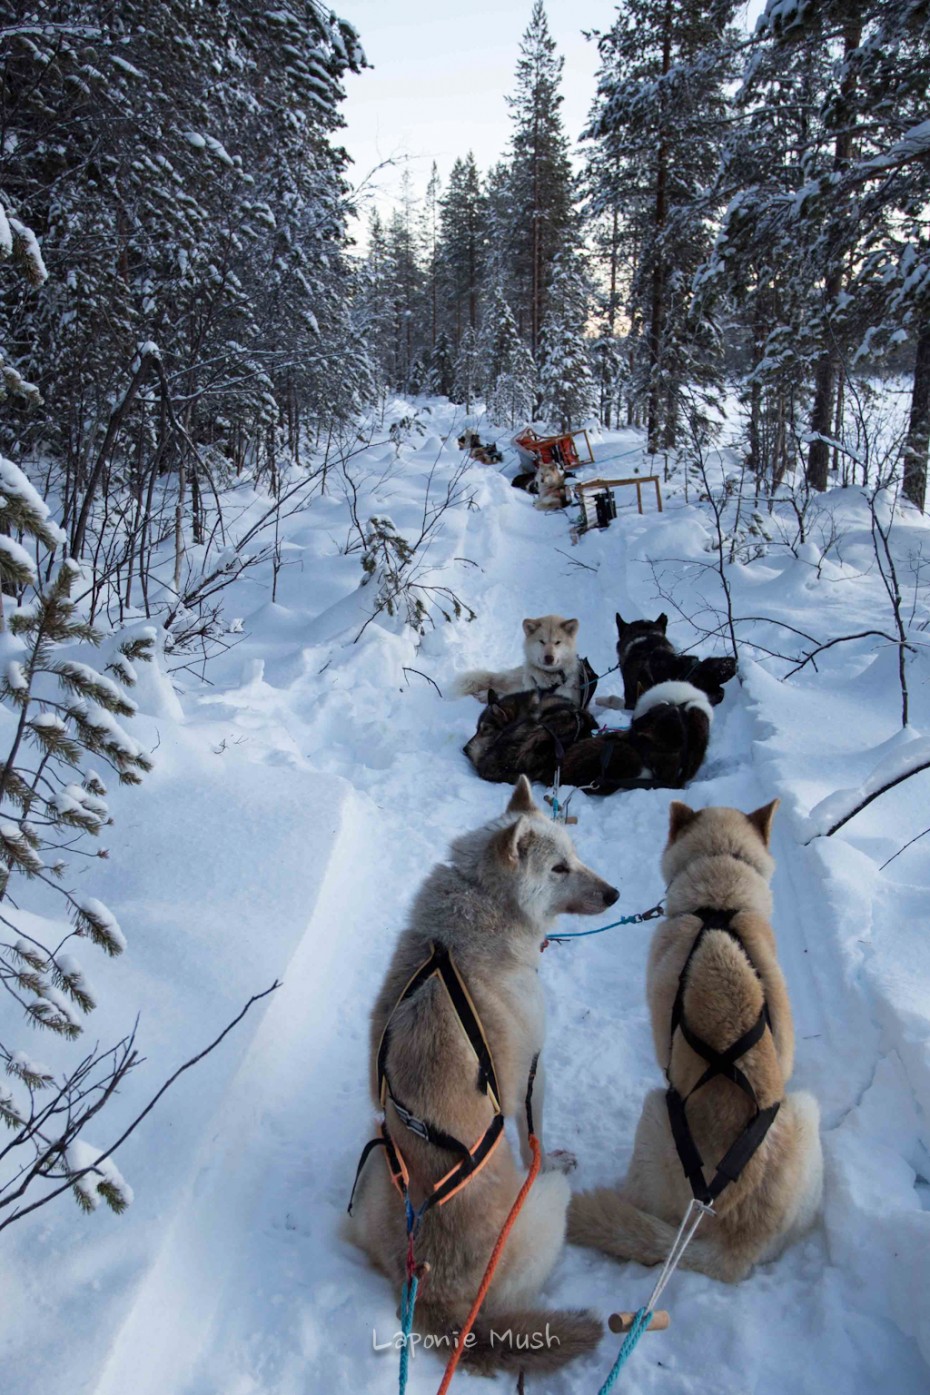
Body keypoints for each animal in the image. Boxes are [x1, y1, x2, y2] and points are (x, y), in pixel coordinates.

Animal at [345, 781, 613, 1378]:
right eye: (559, 867)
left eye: (576, 854)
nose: (615, 893)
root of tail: (434, 1292)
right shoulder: (535, 1068)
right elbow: (532, 1132)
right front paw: (548, 1152)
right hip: (548, 1206)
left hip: (375, 1154)